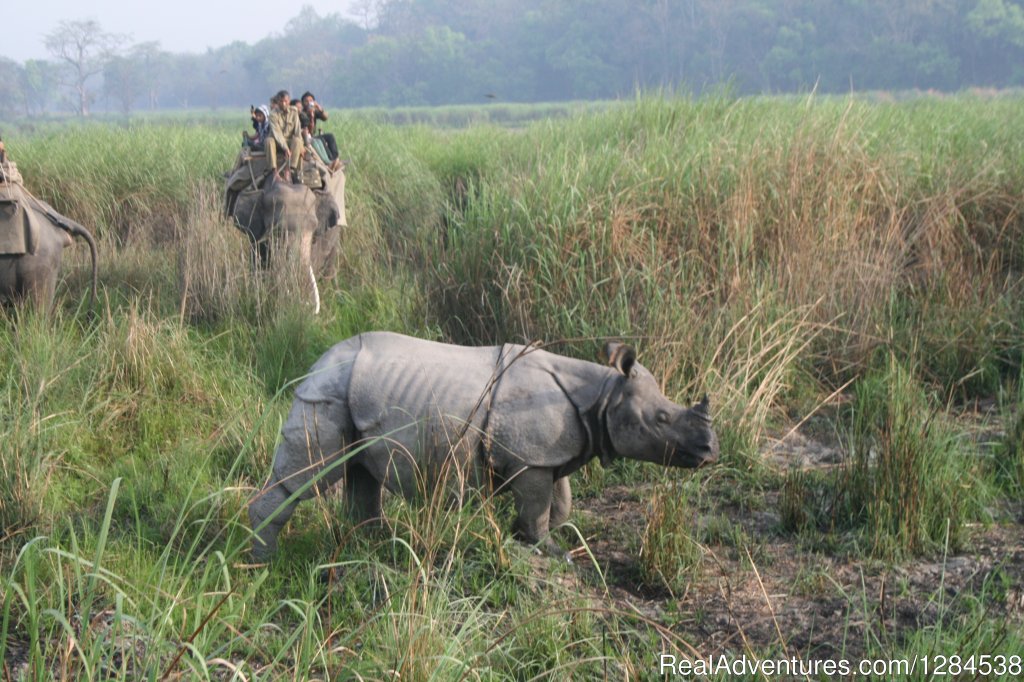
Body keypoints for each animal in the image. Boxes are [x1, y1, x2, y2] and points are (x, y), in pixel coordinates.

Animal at [249, 329, 720, 557]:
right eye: (661, 419)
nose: (710, 451)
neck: (602, 394)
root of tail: (319, 360)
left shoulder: (548, 453)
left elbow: (559, 500)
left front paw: (531, 536)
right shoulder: (532, 458)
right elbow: (539, 503)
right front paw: (550, 550)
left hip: (351, 389)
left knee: (362, 470)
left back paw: (375, 543)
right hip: (325, 392)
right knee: (306, 479)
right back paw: (262, 560)